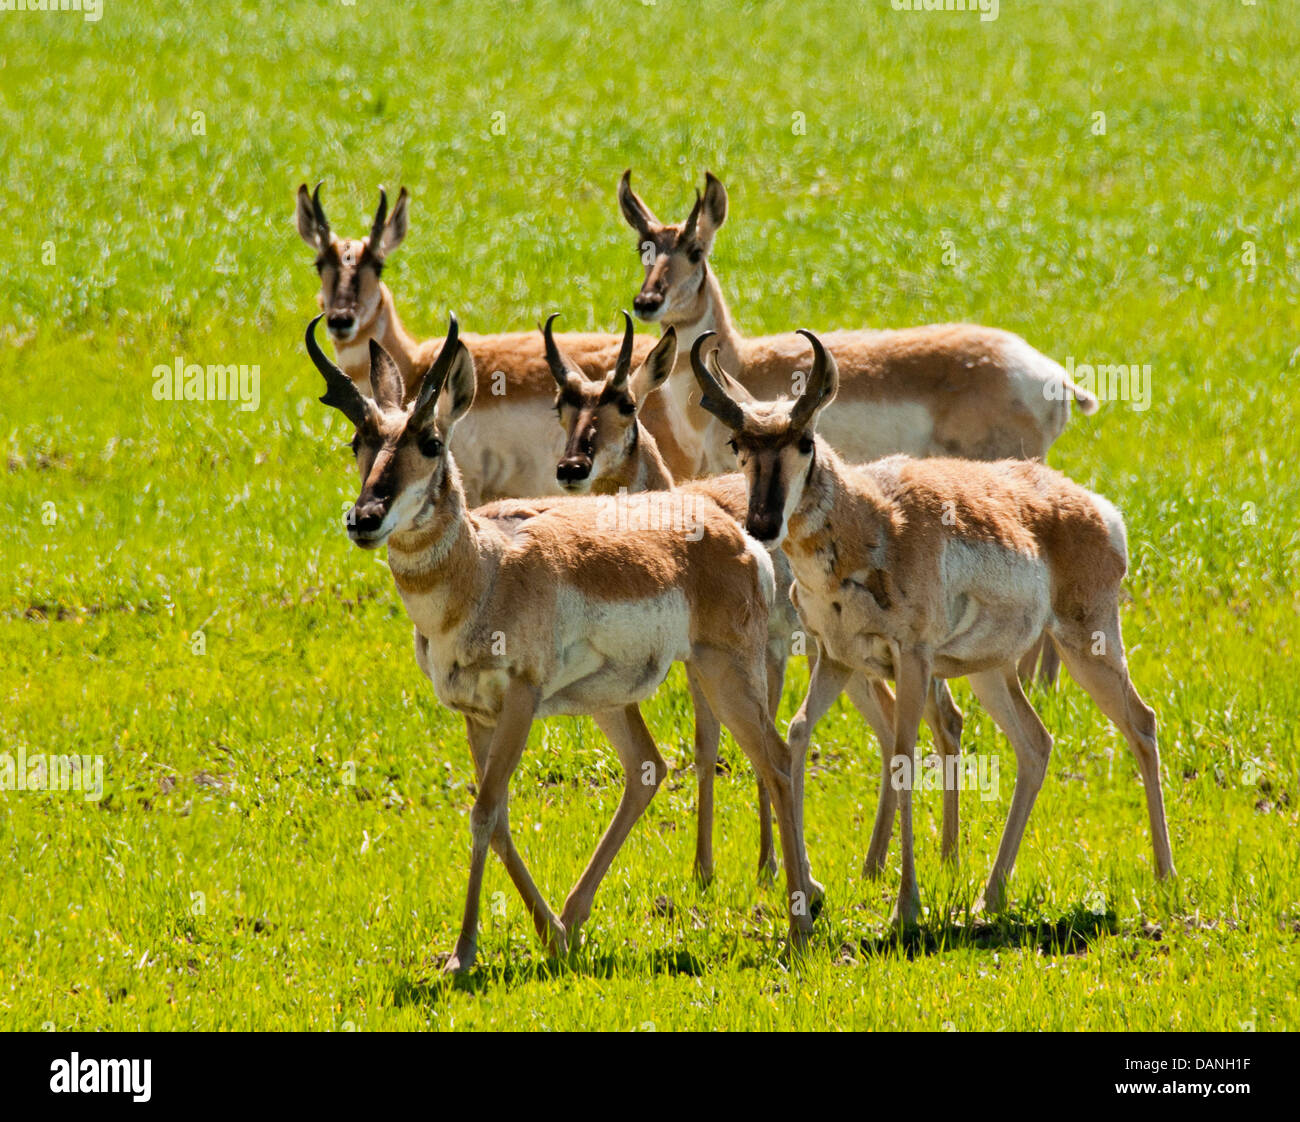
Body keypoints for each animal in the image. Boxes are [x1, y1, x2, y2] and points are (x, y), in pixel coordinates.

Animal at [304, 313, 817, 973]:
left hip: (725, 672)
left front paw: (462, 955)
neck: (485, 568)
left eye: (432, 442)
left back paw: (800, 924)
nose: (364, 518)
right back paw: (573, 918)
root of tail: (735, 532)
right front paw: (546, 934)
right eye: (357, 442)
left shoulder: (521, 701)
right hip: (614, 701)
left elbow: (484, 812)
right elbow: (496, 819)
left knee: (774, 759)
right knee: (649, 767)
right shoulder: (475, 715)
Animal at [546, 312, 965, 882]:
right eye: (561, 405)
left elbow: (761, 745)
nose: (572, 467)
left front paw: (769, 864)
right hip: (847, 660)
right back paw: (874, 864)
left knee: (943, 719)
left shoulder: (767, 650)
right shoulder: (701, 660)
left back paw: (946, 857)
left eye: (626, 403)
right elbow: (708, 744)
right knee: (888, 724)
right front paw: (706, 869)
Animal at [689, 330, 1175, 926]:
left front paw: (906, 906)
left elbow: (902, 755)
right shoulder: (837, 659)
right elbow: (798, 733)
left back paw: (1165, 876)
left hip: (1088, 645)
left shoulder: (912, 660)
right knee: (1036, 743)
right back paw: (990, 894)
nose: (761, 524)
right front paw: (812, 886)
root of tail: (1100, 509)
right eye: (739, 444)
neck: (868, 520)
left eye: (805, 441)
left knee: (1141, 723)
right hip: (992, 672)